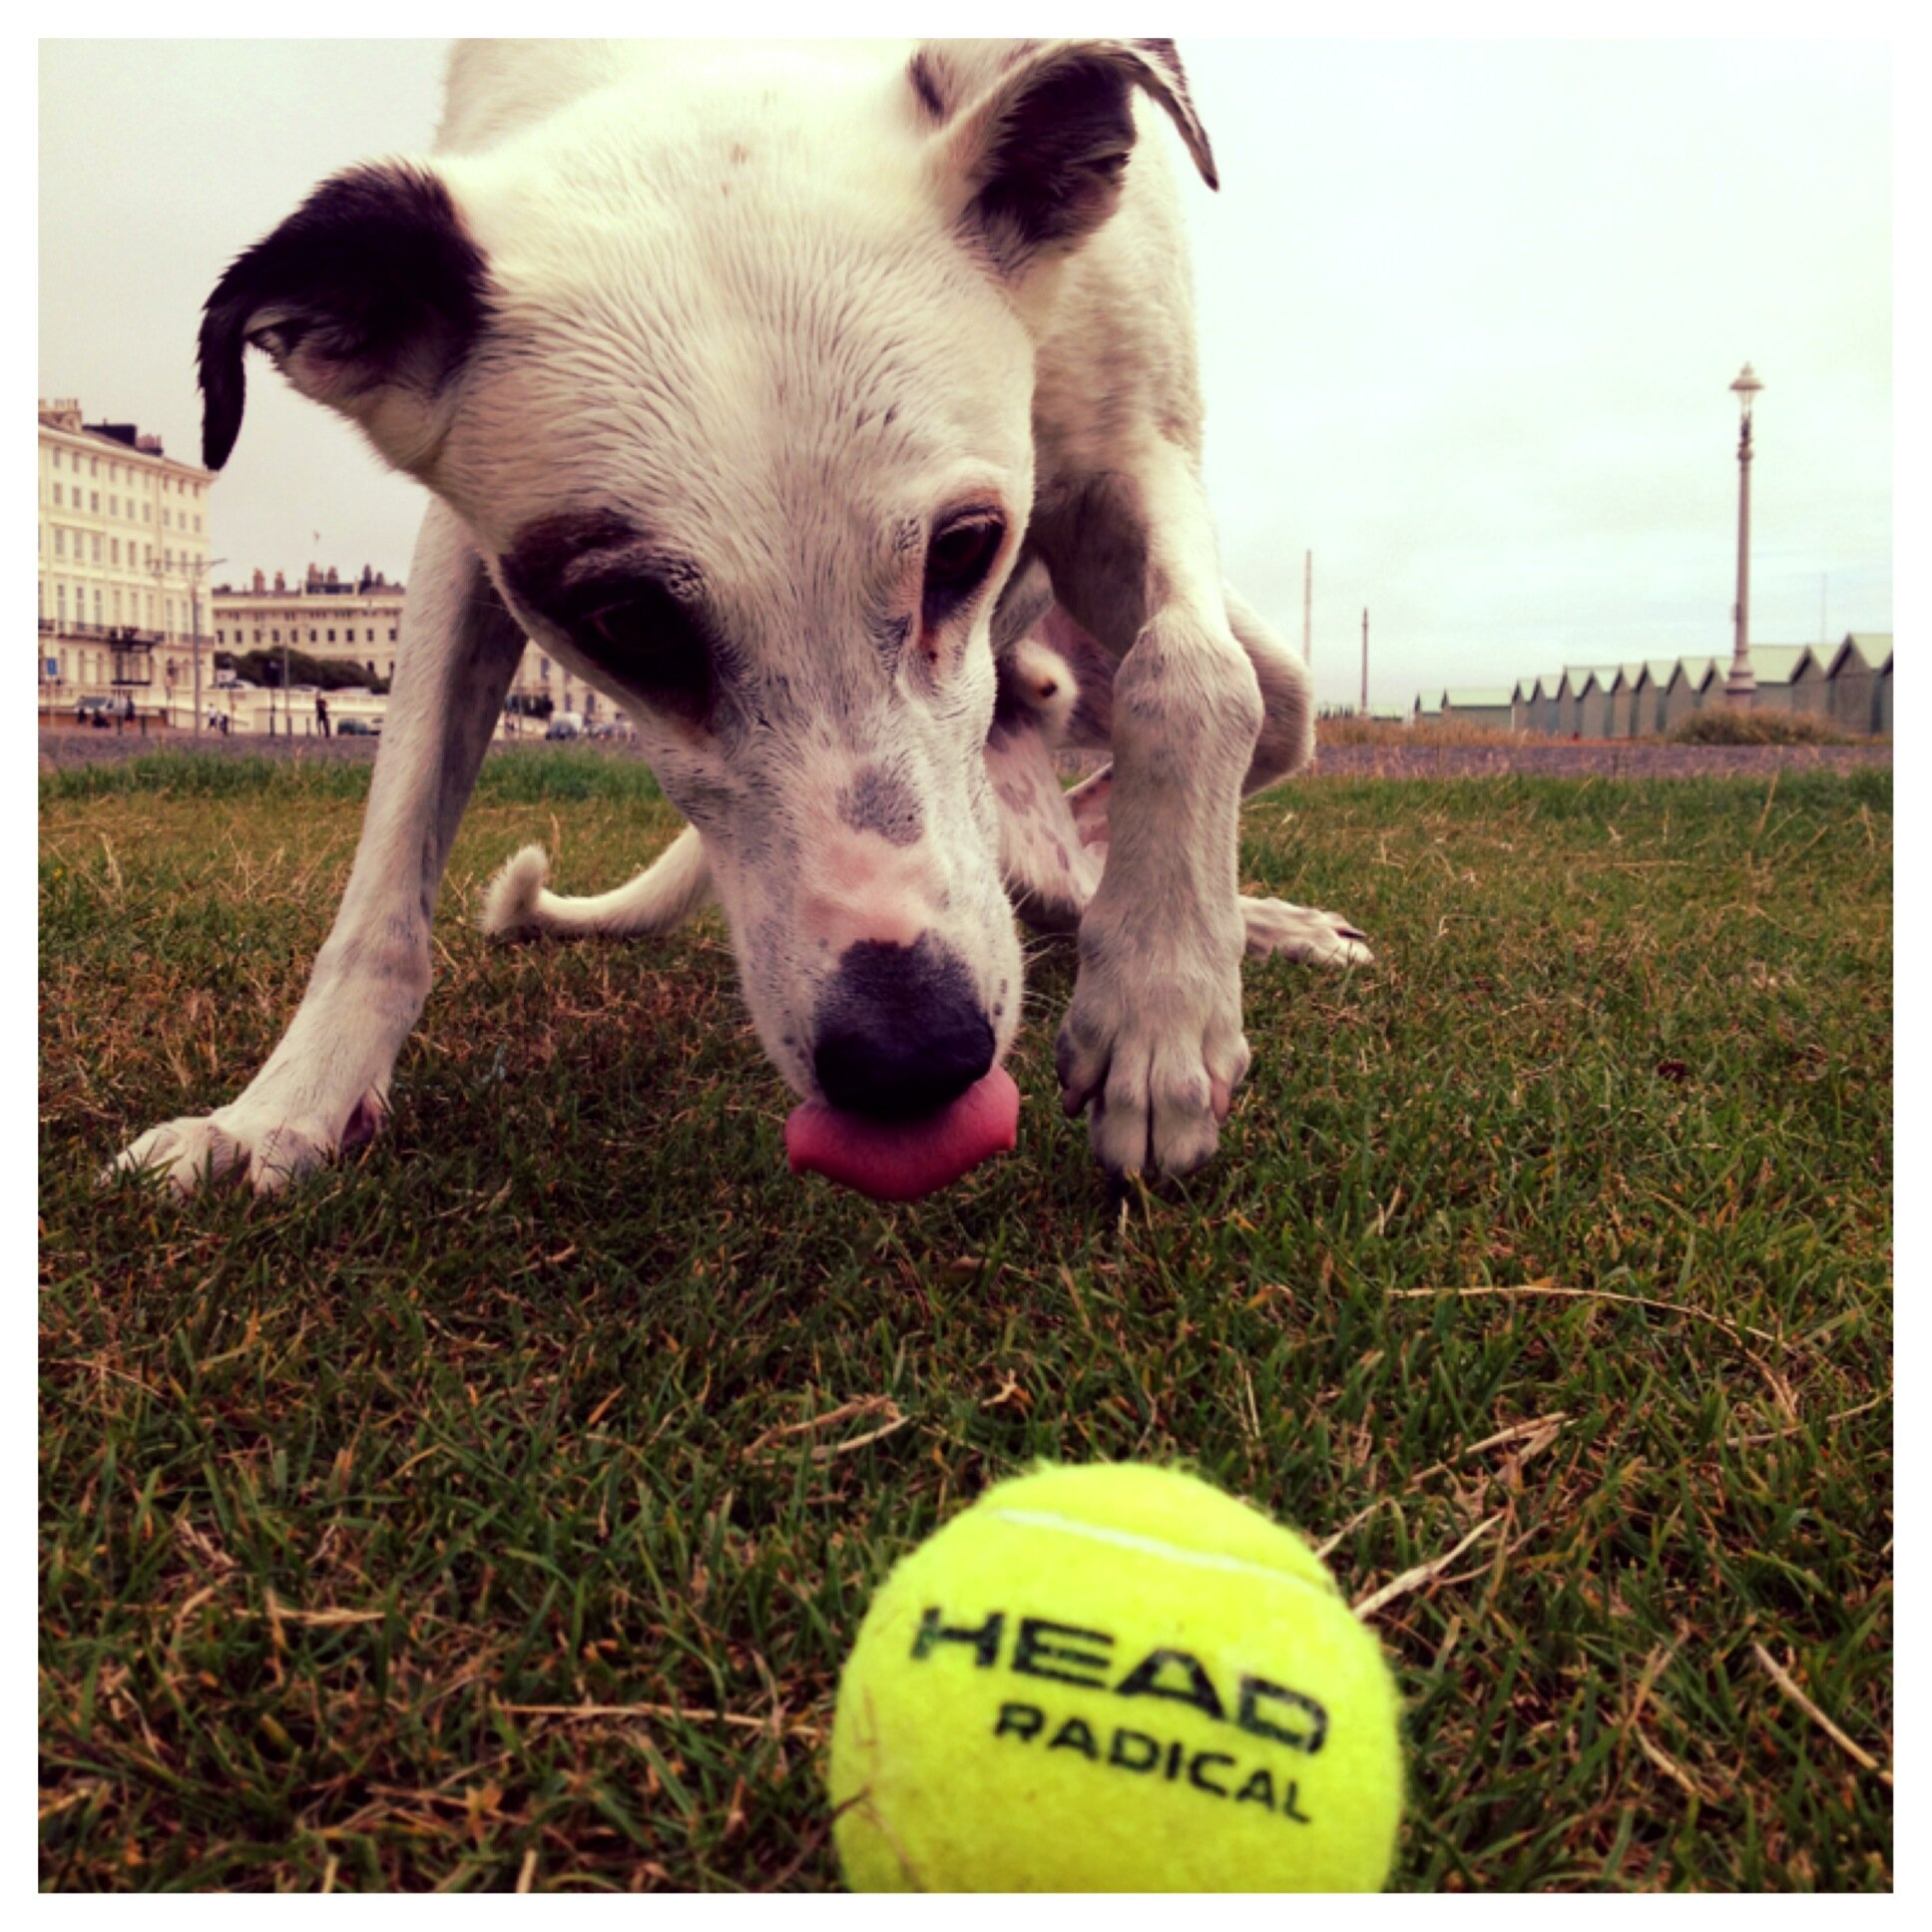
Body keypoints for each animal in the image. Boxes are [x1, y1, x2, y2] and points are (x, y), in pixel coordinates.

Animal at [109, 41, 1375, 1190]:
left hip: (1275, 689)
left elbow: (1191, 676)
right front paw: (281, 1109)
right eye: (626, 619)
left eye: (967, 547)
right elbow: (392, 847)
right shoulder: (466, 552)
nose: (913, 1059)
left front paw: (1160, 1015)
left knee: (1208, 726)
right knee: (1044, 856)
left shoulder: (1131, 450)